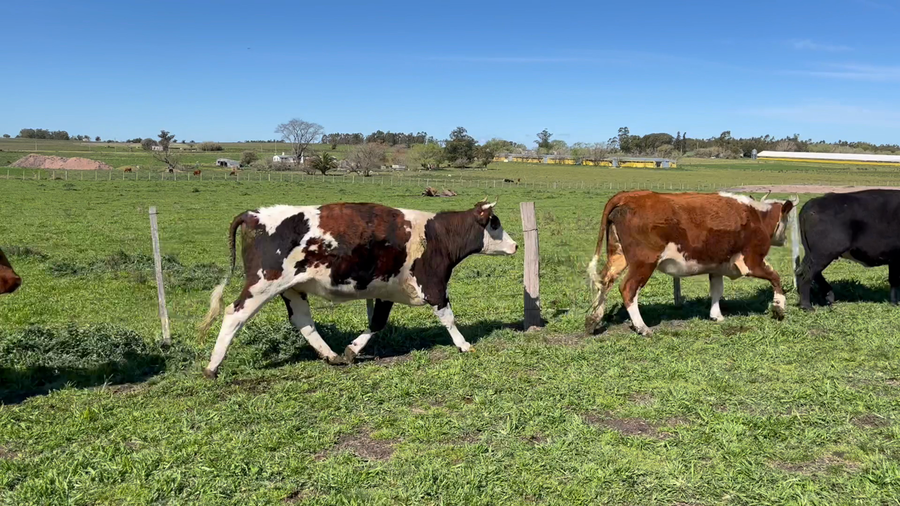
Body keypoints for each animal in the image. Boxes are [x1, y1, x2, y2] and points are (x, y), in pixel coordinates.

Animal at [198, 200, 518, 379]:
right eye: (495, 223)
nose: (515, 245)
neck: (436, 234)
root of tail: (254, 214)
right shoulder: (434, 285)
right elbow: (448, 318)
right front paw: (464, 345)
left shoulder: (387, 289)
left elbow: (377, 323)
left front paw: (352, 350)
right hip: (262, 285)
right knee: (234, 314)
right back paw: (213, 367)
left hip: (292, 289)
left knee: (303, 321)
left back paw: (331, 356)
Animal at [585, 191, 796, 335]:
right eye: (787, 219)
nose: (785, 239)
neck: (756, 216)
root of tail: (630, 196)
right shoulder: (751, 261)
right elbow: (775, 277)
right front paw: (779, 307)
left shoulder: (717, 265)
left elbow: (716, 290)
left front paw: (716, 315)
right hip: (643, 263)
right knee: (628, 289)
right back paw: (642, 327)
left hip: (618, 255)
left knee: (604, 281)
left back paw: (593, 319)